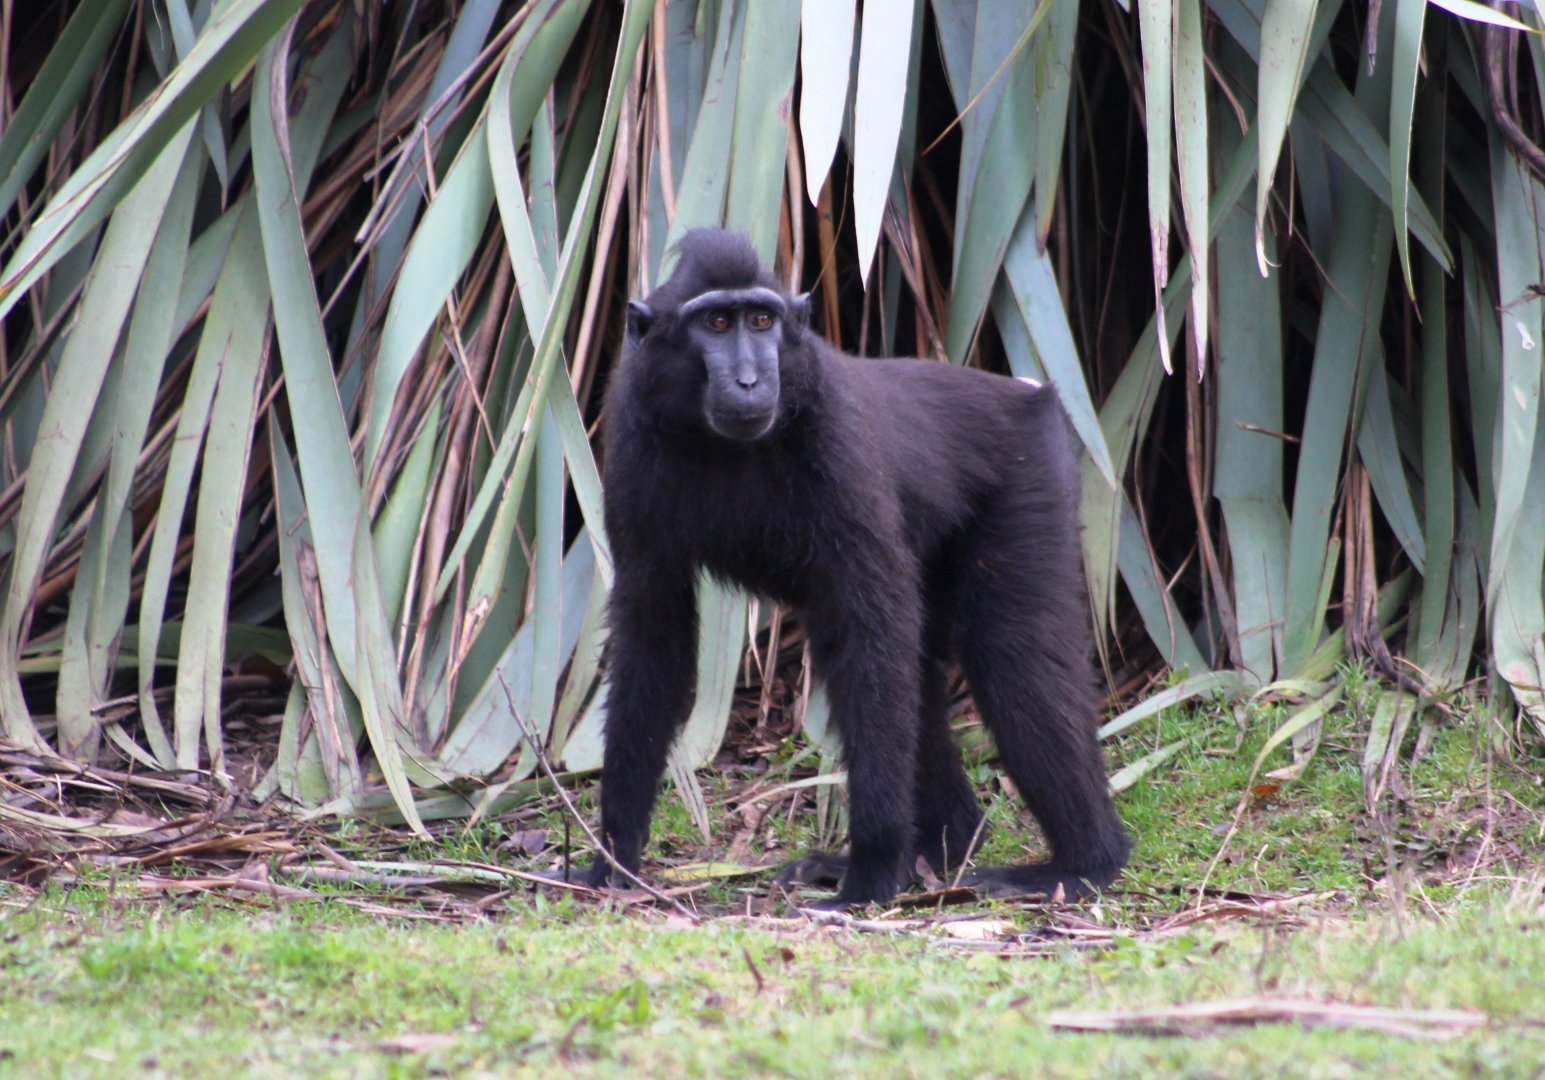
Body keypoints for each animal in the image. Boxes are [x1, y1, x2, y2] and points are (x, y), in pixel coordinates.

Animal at [584, 228, 1130, 909]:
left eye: (760, 321)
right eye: (716, 323)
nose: (749, 380)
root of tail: (1024, 392)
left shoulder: (836, 439)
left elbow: (875, 634)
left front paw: (871, 875)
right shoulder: (631, 442)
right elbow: (653, 635)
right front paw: (614, 858)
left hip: (1029, 477)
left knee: (1011, 652)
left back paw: (1084, 863)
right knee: (910, 670)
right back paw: (949, 845)